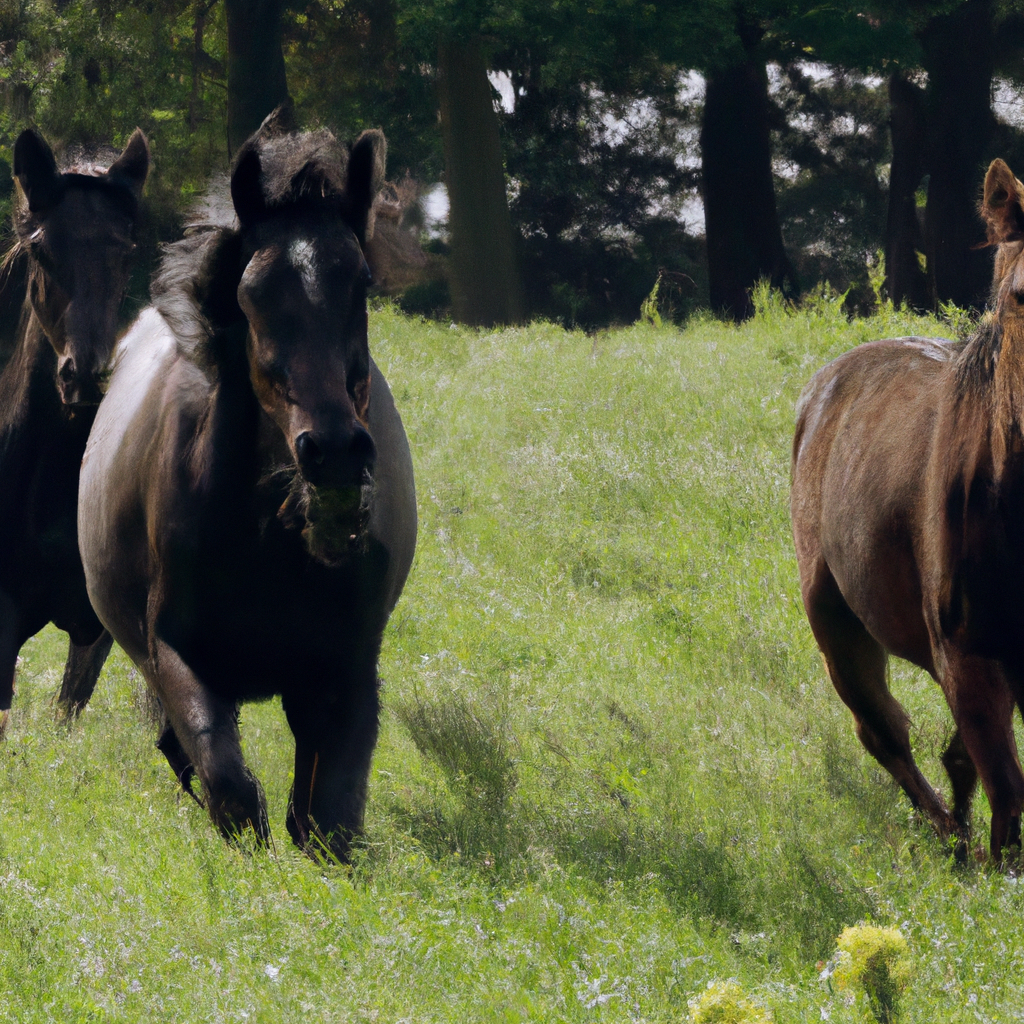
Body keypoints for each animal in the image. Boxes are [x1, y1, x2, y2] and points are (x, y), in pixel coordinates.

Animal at [77, 112, 417, 860]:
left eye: (361, 283)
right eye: (254, 292)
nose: (336, 453)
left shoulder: (346, 672)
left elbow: (328, 818)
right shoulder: (175, 654)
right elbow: (228, 780)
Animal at [790, 157, 1024, 864]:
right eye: (1018, 296)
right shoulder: (968, 659)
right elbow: (1008, 796)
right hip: (833, 617)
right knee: (885, 731)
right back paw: (951, 841)